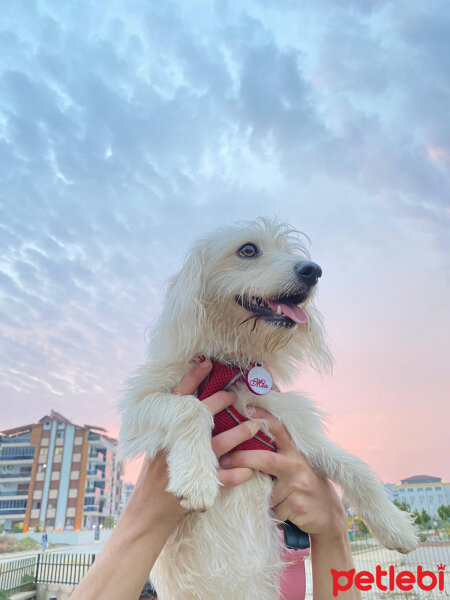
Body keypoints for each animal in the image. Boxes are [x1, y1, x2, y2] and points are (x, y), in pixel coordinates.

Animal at [120, 219, 418, 600]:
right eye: (248, 250)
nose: (313, 271)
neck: (230, 366)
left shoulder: (286, 422)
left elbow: (354, 465)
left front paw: (395, 525)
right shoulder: (137, 408)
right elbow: (191, 407)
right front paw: (197, 476)